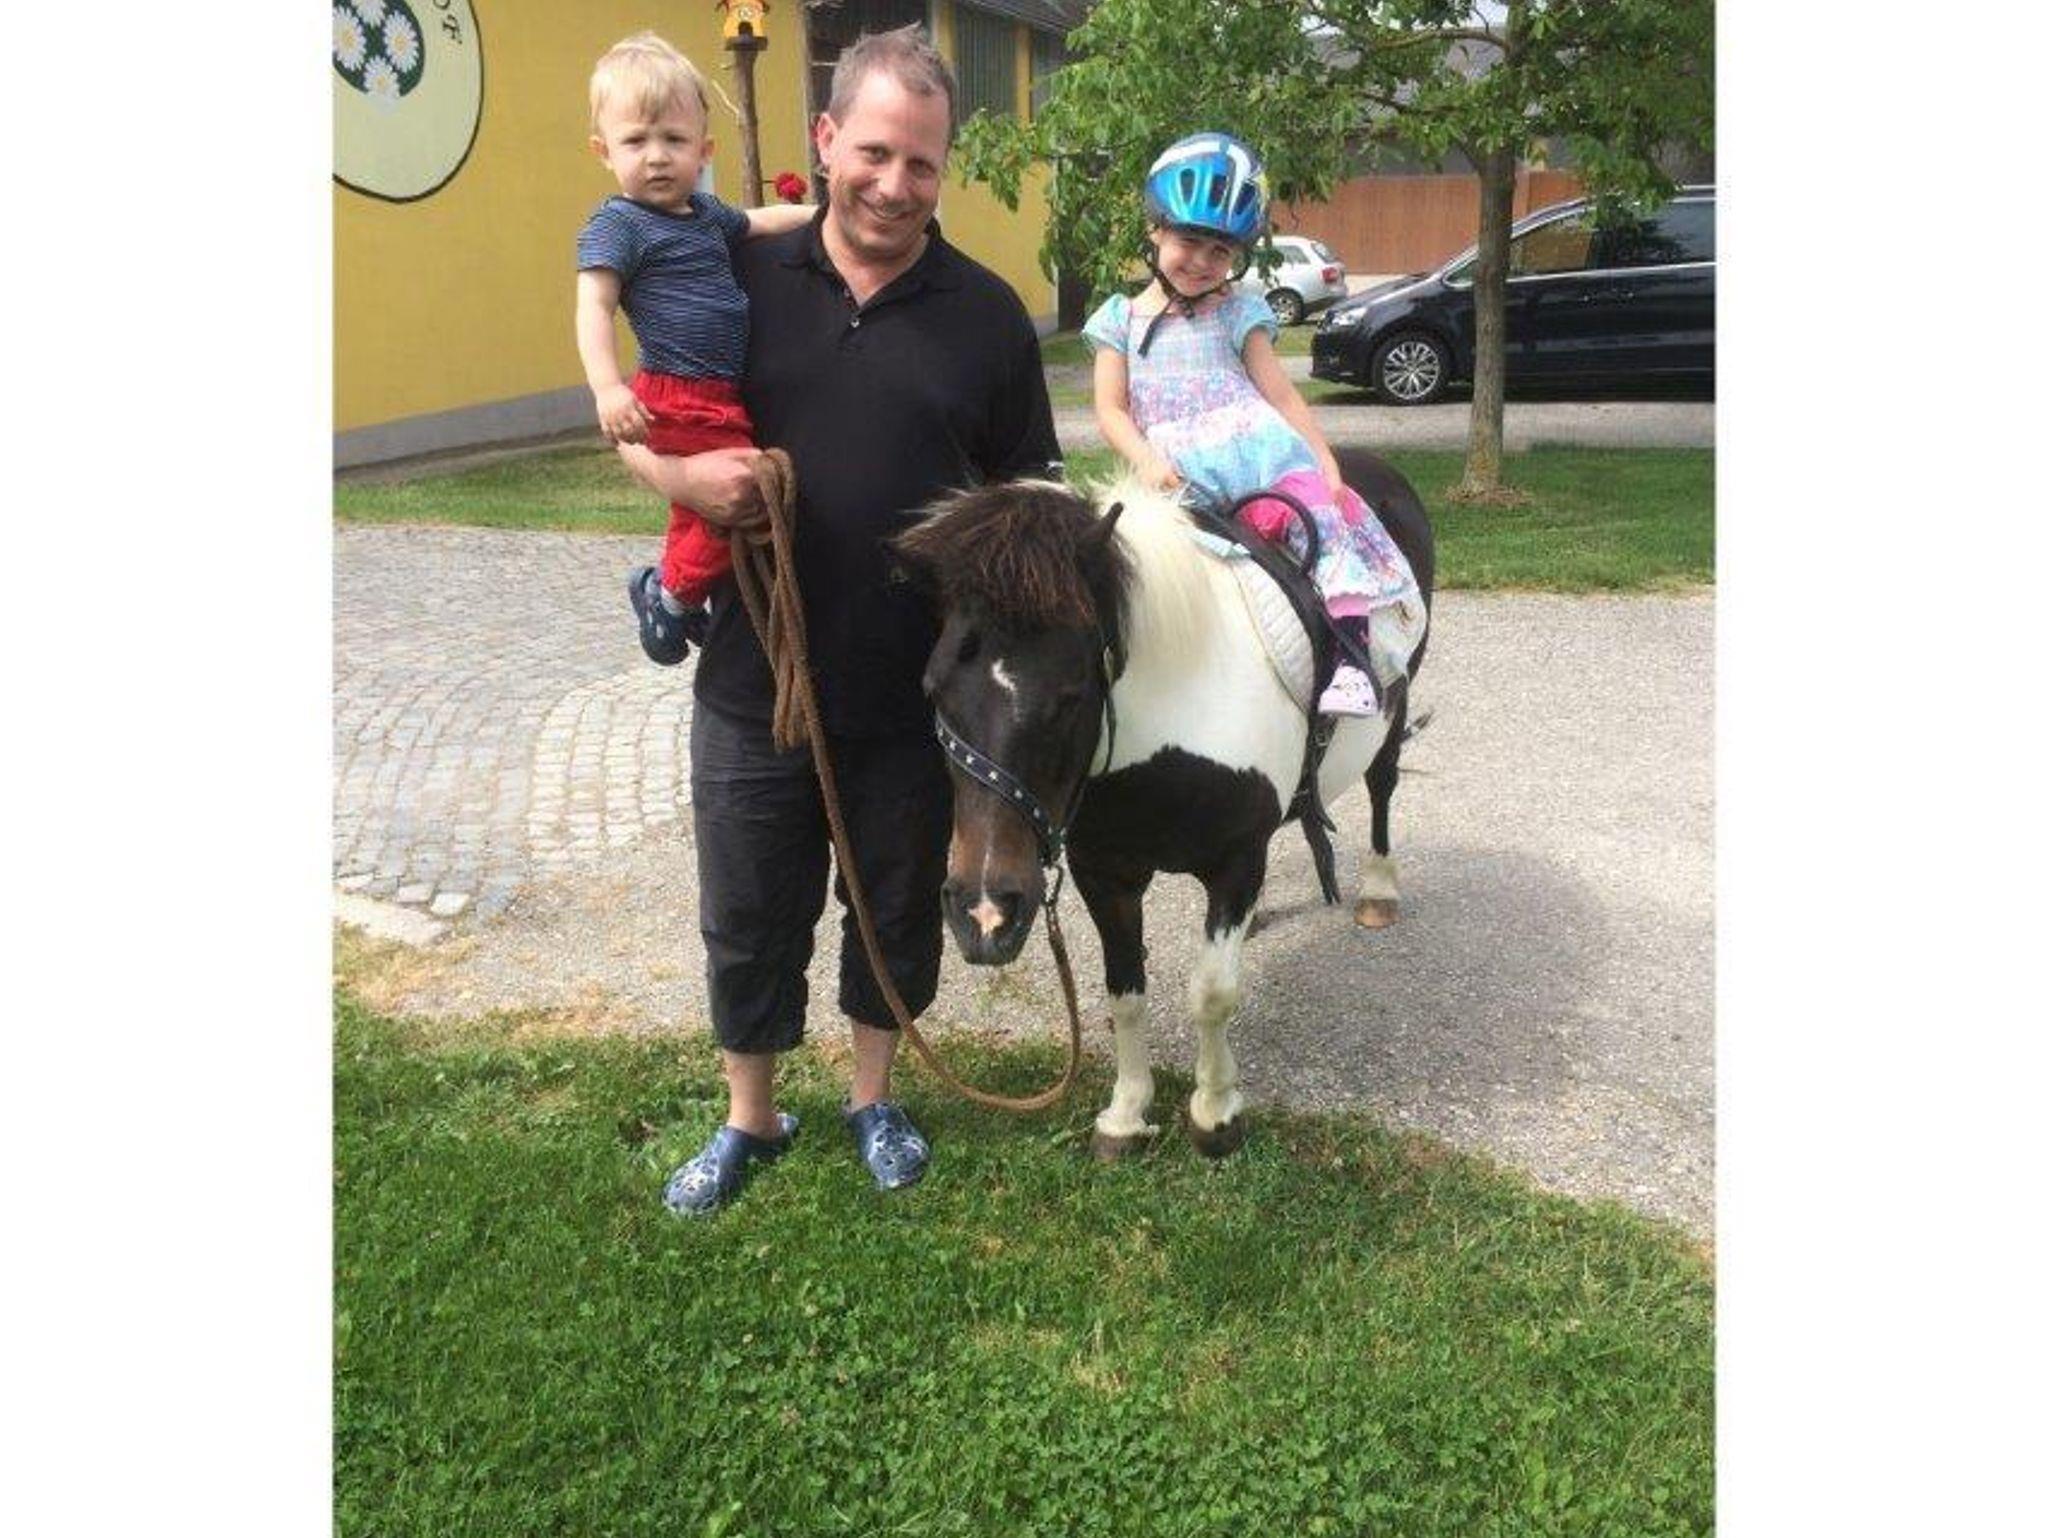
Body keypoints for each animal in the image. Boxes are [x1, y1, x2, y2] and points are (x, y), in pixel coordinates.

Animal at [891, 448, 1435, 1158]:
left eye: (1070, 694)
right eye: (933, 690)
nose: (985, 914)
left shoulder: (1235, 861)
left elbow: (1213, 993)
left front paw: (1214, 1113)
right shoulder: (1105, 873)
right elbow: (1125, 991)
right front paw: (1126, 1114)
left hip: (1395, 712)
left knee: (1382, 787)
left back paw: (1378, 889)